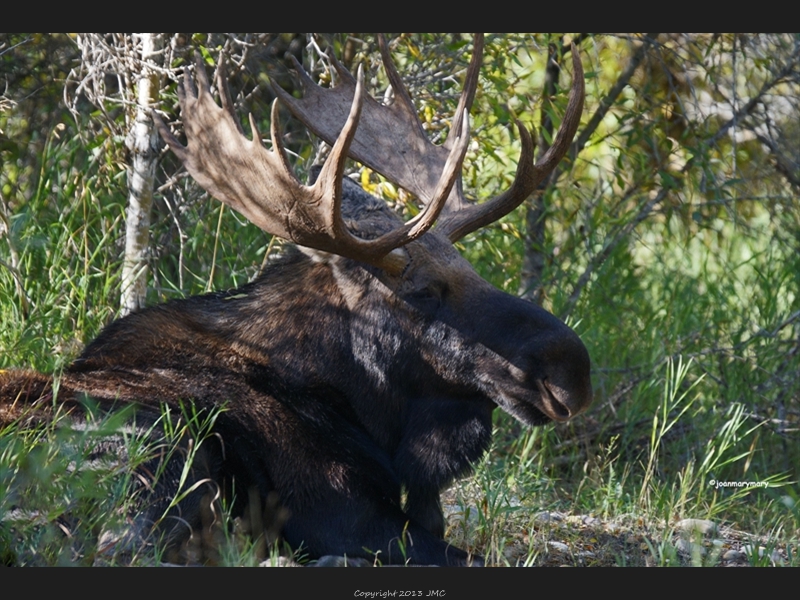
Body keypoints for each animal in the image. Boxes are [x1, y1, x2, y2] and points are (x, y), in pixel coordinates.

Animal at [0, 35, 588, 568]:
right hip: (159, 446)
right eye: (423, 291)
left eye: (472, 269)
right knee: (124, 549)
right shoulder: (342, 510)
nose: (571, 368)